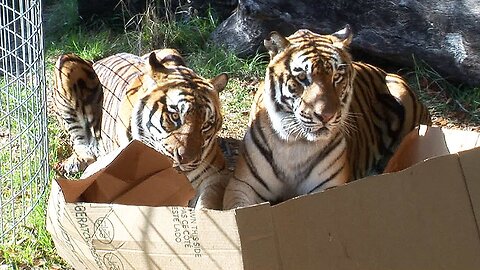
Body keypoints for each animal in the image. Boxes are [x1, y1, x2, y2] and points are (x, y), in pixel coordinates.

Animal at [53, 48, 230, 209]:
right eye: (175, 116)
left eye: (206, 125)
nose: (187, 160)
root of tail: (101, 59)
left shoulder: (215, 177)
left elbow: (207, 206)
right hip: (66, 62)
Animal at [224, 25, 432, 210]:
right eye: (302, 77)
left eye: (337, 76)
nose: (326, 116)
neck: (295, 144)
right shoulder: (241, 185)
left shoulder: (329, 189)